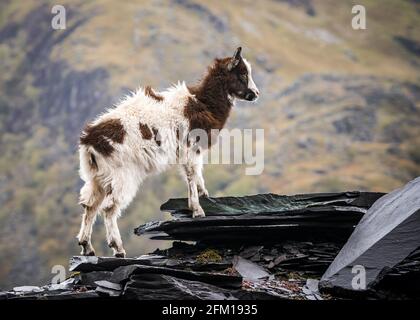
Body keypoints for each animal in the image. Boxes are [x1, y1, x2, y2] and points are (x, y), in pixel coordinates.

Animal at [76, 47, 260, 258]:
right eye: (242, 73)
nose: (256, 93)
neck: (201, 103)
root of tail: (89, 142)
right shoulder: (190, 148)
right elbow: (192, 174)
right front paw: (197, 210)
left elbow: (196, 174)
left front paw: (204, 195)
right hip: (122, 174)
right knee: (109, 207)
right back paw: (118, 249)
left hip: (96, 177)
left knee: (90, 205)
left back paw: (87, 247)